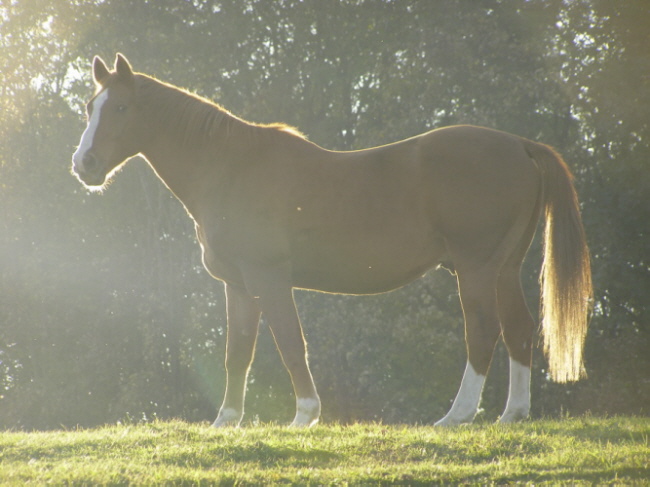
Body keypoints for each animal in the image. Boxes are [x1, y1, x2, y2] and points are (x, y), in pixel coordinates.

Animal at [72, 54, 592, 428]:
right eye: (89, 107)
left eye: (120, 108)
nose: (85, 164)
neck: (231, 167)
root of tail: (521, 145)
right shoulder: (237, 286)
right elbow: (238, 352)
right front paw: (226, 422)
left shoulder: (270, 279)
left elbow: (289, 342)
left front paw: (304, 416)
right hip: (504, 268)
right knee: (519, 329)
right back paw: (512, 415)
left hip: (477, 268)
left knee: (483, 331)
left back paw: (456, 416)